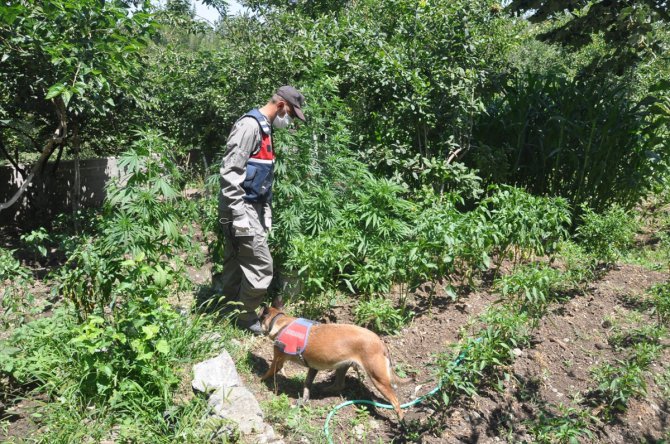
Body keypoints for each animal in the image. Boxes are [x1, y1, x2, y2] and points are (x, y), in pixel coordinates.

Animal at [260, 298, 406, 420]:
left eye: (259, 318)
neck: (281, 323)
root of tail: (381, 343)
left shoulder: (278, 360)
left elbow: (268, 372)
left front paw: (260, 380)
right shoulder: (313, 368)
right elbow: (307, 384)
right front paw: (304, 400)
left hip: (378, 379)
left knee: (396, 402)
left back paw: (401, 421)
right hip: (343, 366)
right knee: (339, 384)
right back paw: (324, 390)